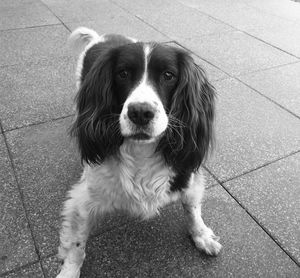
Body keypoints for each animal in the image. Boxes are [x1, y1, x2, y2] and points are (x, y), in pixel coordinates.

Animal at [56, 26, 221, 278]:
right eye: (123, 73)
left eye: (168, 75)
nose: (140, 112)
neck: (141, 152)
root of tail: (100, 38)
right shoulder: (82, 201)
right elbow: (76, 244)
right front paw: (69, 270)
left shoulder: (187, 177)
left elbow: (192, 210)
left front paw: (201, 235)